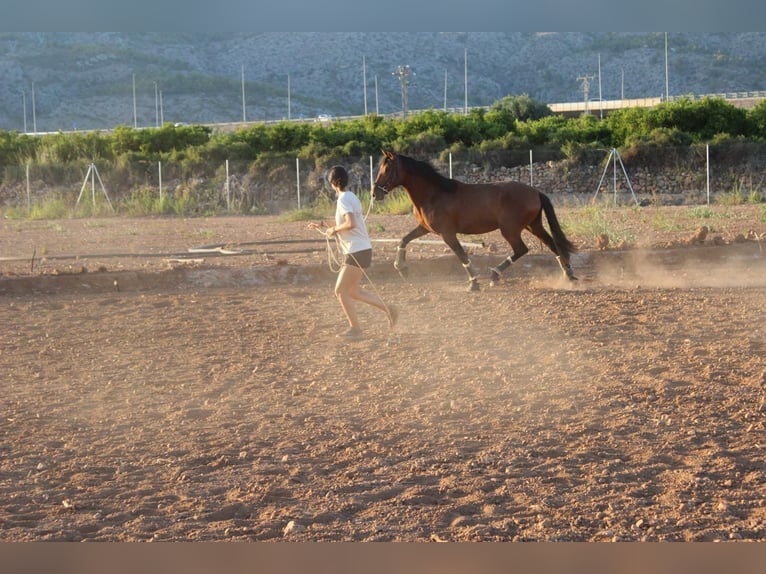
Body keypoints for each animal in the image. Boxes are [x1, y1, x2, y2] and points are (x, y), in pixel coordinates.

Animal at [376, 151, 580, 290]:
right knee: (553, 245)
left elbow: (462, 256)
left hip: (510, 229)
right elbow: (404, 240)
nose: (374, 193)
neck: (433, 194)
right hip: (533, 225)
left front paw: (473, 284)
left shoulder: (447, 234)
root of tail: (535, 192)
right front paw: (401, 268)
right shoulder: (424, 228)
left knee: (522, 249)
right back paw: (568, 276)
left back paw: (494, 275)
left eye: (386, 169)